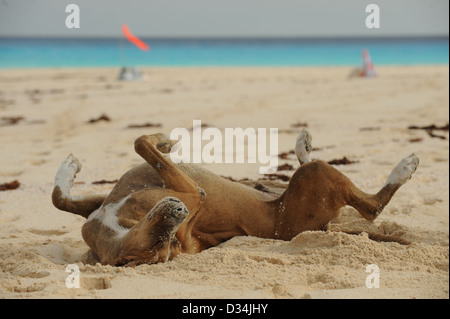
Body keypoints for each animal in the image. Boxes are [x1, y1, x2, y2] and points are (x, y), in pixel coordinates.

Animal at [51, 131, 418, 268]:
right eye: (159, 244)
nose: (180, 211)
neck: (116, 228)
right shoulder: (190, 192)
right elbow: (142, 142)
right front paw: (163, 141)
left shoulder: (101, 206)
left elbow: (60, 199)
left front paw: (67, 169)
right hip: (315, 179)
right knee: (372, 207)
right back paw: (404, 167)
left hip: (271, 182)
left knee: (283, 175)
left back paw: (302, 144)